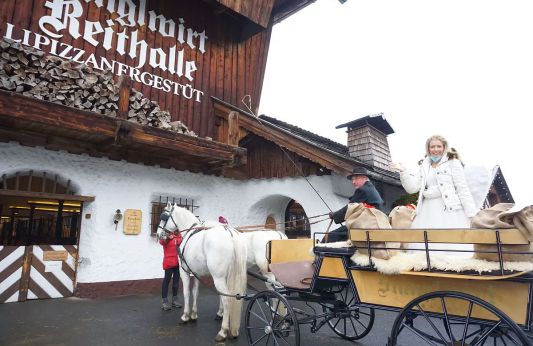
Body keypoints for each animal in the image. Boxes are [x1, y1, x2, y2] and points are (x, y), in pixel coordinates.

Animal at [156, 204, 247, 342]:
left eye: (164, 217)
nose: (158, 234)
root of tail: (230, 233)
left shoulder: (185, 272)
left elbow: (187, 292)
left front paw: (185, 316)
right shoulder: (196, 273)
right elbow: (195, 292)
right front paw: (194, 314)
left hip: (218, 277)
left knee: (227, 299)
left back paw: (223, 331)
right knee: (227, 296)